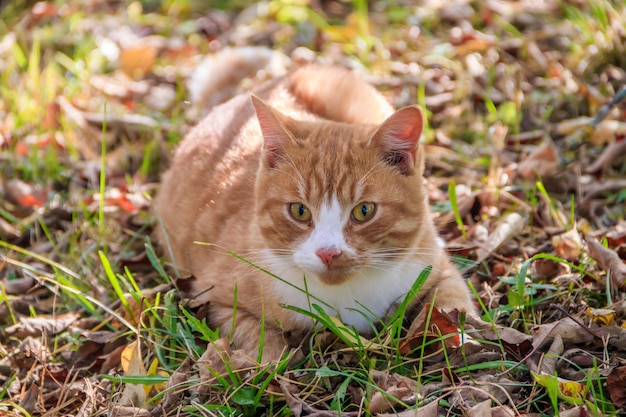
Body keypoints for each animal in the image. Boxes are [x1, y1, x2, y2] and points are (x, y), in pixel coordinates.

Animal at [156, 65, 472, 360]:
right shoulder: (213, 297)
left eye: (364, 210)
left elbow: (452, 301)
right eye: (299, 211)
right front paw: (271, 357)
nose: (328, 253)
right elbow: (257, 337)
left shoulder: (435, 264)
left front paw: (455, 335)